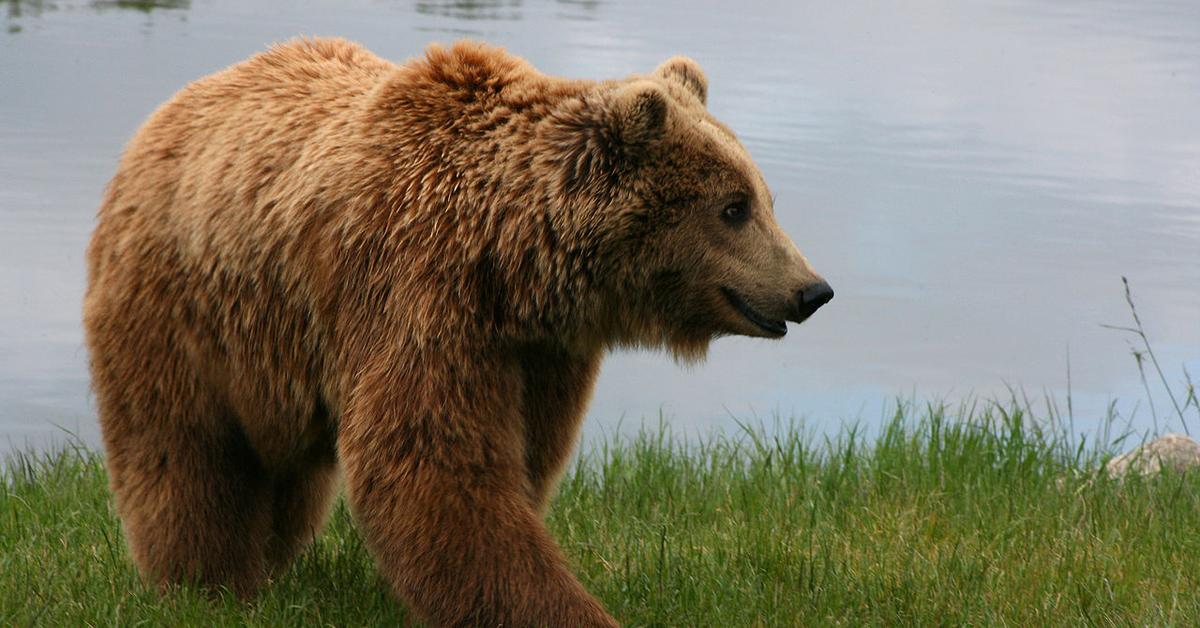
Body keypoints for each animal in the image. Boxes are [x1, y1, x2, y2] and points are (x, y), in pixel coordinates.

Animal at [82, 39, 835, 628]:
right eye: (733, 207)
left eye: (764, 198)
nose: (811, 290)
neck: (510, 260)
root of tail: (167, 112)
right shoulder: (417, 293)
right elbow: (436, 465)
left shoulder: (539, 354)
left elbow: (521, 458)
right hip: (183, 306)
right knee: (185, 450)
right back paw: (204, 582)